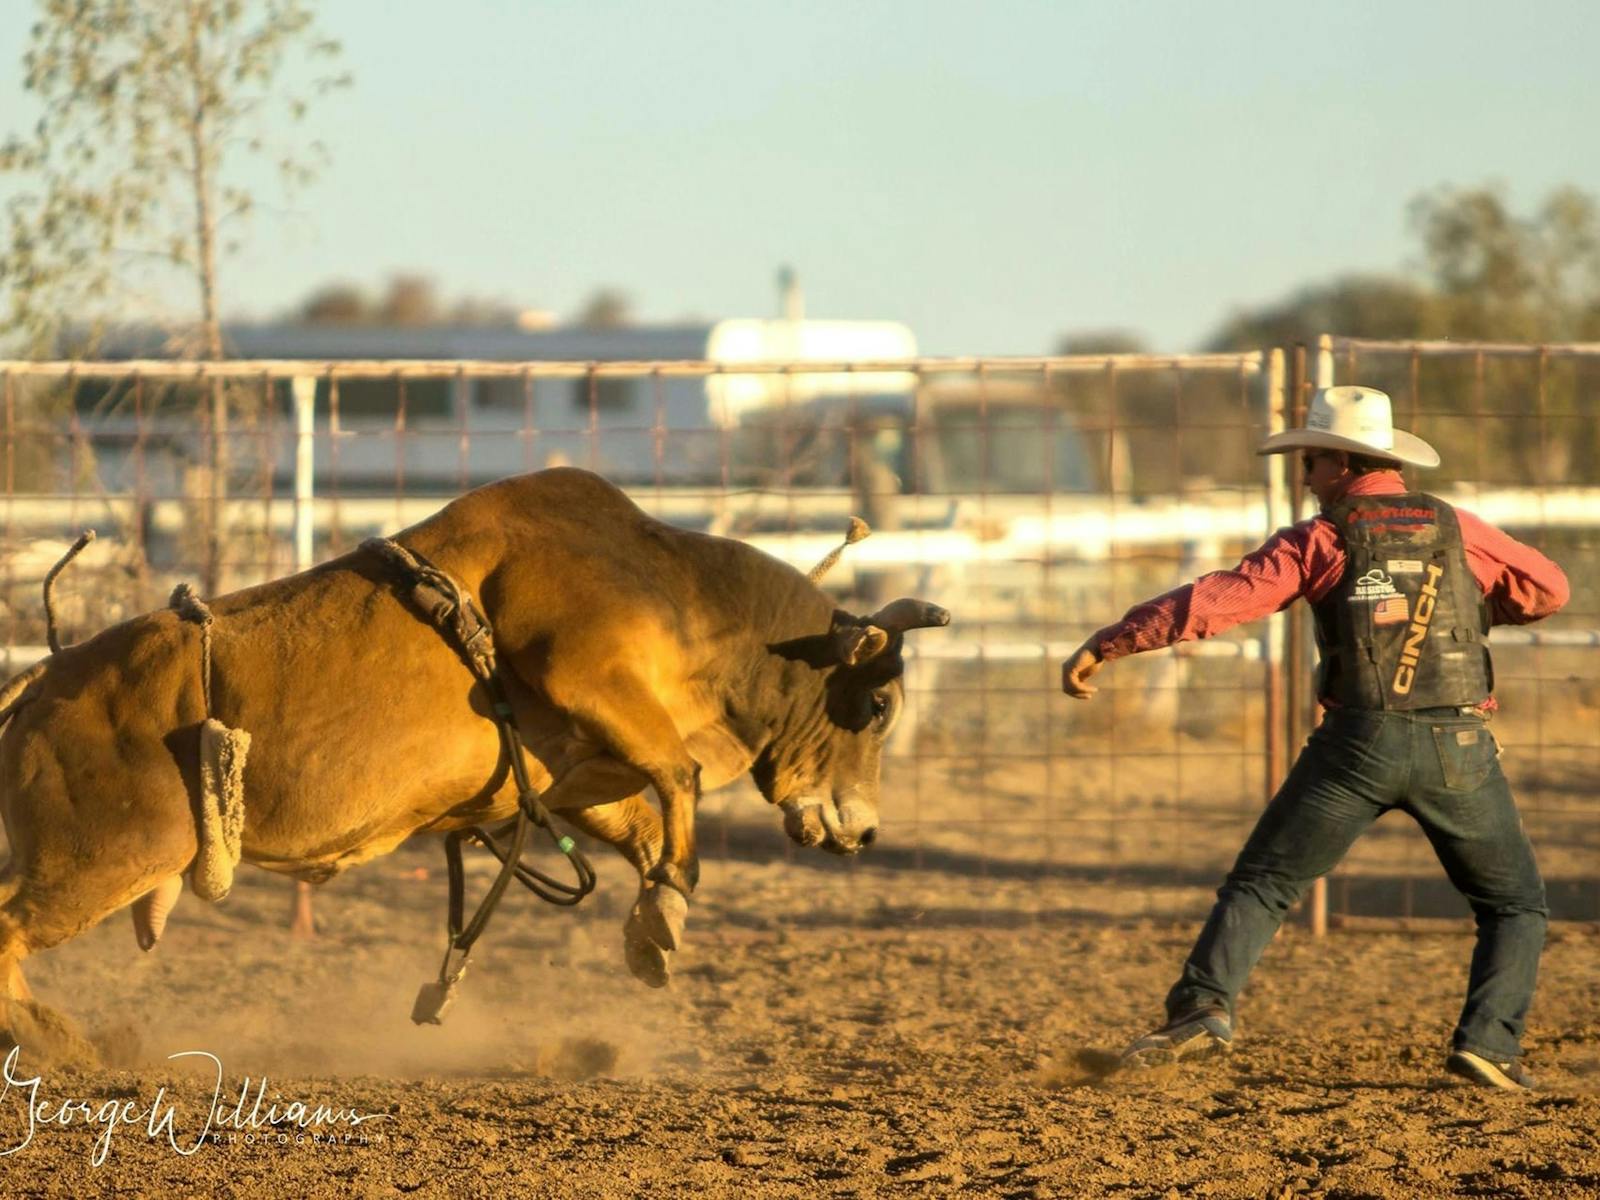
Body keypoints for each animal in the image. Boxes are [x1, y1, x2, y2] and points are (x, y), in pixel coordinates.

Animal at [0, 473, 947, 1068]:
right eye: (878, 705)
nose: (865, 830)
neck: (675, 589)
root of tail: (43, 680)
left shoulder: (569, 763)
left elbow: (640, 817)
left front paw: (649, 923)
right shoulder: (591, 674)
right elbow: (676, 776)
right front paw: (670, 902)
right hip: (100, 858)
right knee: (10, 931)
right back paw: (57, 1039)